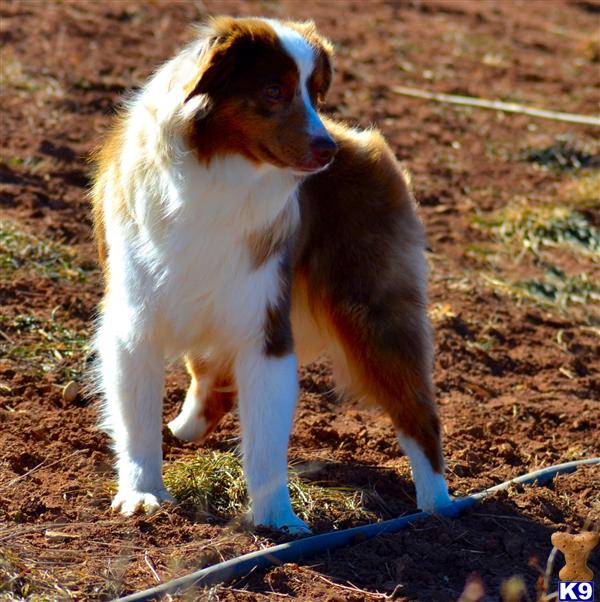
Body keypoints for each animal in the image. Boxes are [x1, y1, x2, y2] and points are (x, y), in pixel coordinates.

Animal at [91, 15, 452, 528]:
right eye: (273, 90)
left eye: (315, 95)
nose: (326, 151)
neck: (219, 175)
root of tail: (360, 141)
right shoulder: (135, 320)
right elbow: (136, 419)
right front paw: (143, 494)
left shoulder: (266, 324)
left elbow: (265, 439)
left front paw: (278, 519)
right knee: (211, 377)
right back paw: (184, 427)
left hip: (376, 312)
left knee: (418, 411)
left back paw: (438, 508)